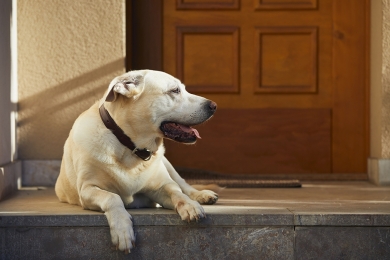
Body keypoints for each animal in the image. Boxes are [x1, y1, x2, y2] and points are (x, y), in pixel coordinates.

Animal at [54, 70, 219, 253]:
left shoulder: (162, 186)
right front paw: (122, 230)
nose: (213, 106)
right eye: (175, 90)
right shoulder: (87, 189)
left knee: (183, 184)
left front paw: (190, 205)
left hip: (166, 164)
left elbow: (177, 192)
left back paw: (202, 195)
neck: (129, 147)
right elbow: (112, 198)